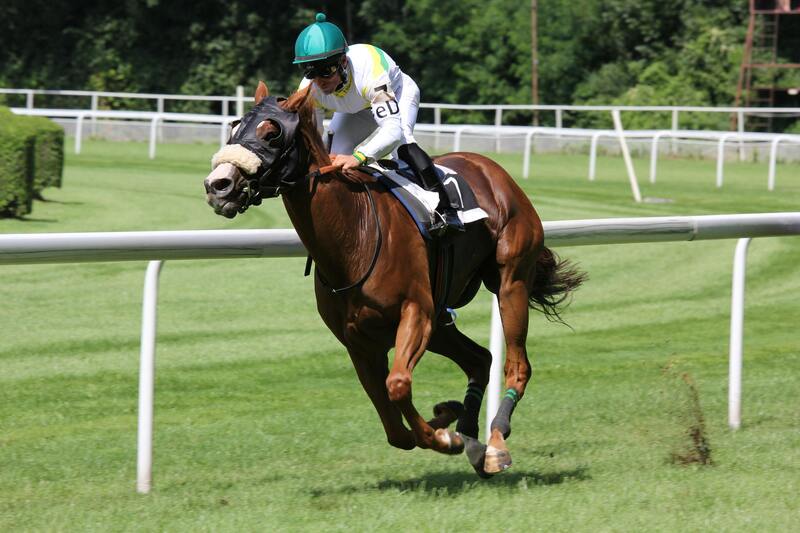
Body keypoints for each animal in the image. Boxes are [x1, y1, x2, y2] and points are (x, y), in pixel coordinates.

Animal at [203, 82, 585, 477]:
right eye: (234, 128)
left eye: (272, 133)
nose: (218, 185)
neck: (353, 235)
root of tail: (492, 169)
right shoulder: (358, 341)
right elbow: (393, 425)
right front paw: (447, 420)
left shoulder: (415, 313)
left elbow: (398, 385)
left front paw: (444, 436)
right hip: (441, 320)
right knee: (480, 359)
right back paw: (470, 436)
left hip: (510, 281)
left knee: (517, 365)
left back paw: (495, 443)